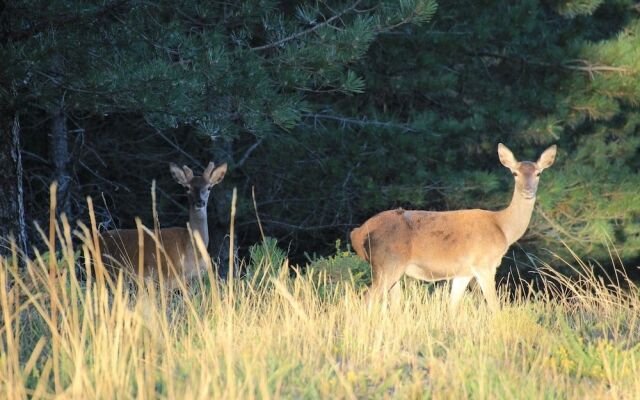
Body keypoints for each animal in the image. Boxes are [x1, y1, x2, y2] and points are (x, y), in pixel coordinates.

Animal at [350, 144, 556, 312]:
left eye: (538, 173)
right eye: (515, 173)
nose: (528, 191)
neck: (504, 228)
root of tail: (358, 233)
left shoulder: (463, 272)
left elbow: (452, 308)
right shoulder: (484, 264)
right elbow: (494, 307)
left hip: (390, 269)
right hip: (388, 263)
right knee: (367, 299)